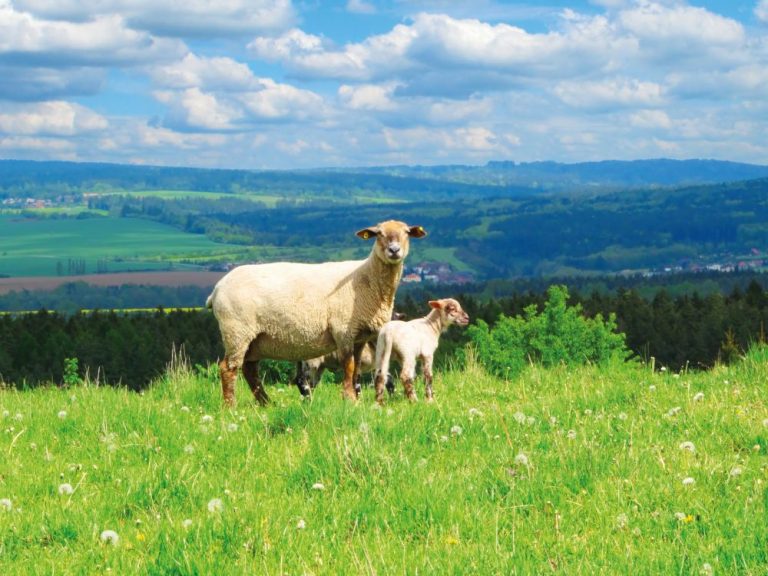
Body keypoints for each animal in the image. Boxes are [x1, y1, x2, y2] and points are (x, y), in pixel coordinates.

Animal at [204, 219, 426, 404]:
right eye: (379, 233)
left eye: (406, 233)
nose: (394, 250)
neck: (365, 278)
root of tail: (217, 289)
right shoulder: (343, 330)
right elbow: (349, 366)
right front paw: (349, 399)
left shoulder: (359, 336)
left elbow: (355, 370)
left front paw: (354, 398)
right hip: (237, 331)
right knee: (229, 369)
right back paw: (230, 406)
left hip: (254, 339)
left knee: (249, 370)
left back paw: (266, 404)